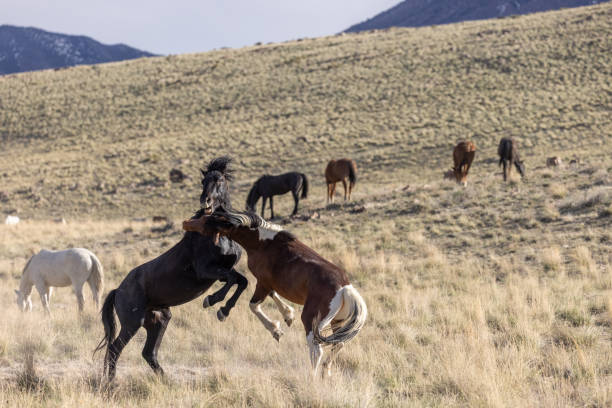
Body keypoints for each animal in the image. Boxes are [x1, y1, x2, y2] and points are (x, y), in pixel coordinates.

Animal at [95, 158, 249, 380]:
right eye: (203, 180)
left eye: (219, 179)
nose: (206, 202)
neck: (216, 231)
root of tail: (118, 291)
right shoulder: (206, 271)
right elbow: (231, 280)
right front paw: (212, 301)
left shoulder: (224, 269)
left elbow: (241, 281)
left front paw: (223, 310)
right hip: (133, 323)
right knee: (115, 349)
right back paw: (111, 382)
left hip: (159, 320)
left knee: (148, 353)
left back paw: (164, 380)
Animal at [183, 209, 368, 378]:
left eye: (208, 220)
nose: (186, 223)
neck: (263, 243)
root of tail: (345, 289)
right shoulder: (270, 284)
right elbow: (274, 296)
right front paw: (287, 317)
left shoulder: (262, 283)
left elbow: (253, 306)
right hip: (337, 322)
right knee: (338, 344)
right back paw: (326, 372)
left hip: (311, 320)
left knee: (317, 350)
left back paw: (312, 379)